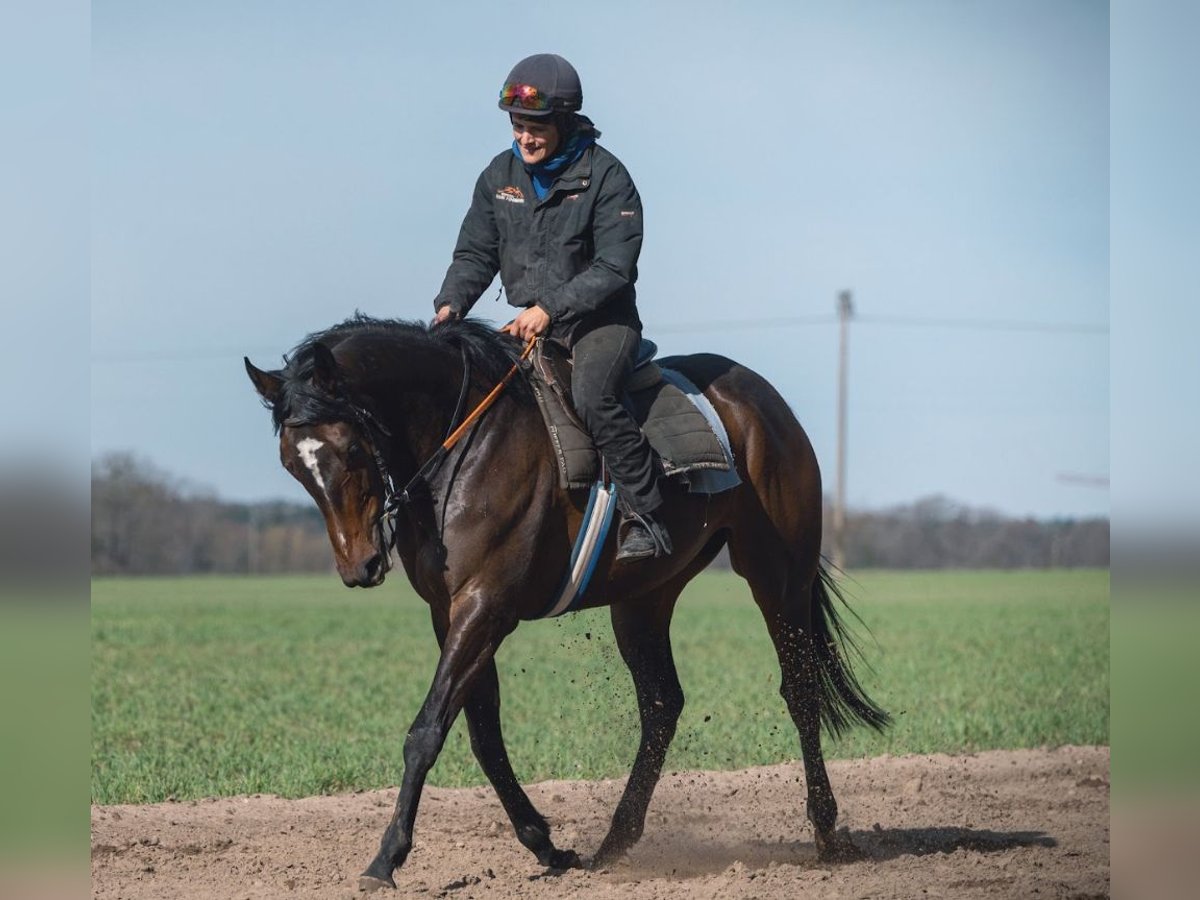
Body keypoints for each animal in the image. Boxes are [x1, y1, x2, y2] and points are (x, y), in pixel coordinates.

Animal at [243, 314, 888, 892]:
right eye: (292, 464)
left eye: (351, 449)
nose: (360, 566)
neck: (464, 448)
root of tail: (763, 399)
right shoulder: (450, 613)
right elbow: (483, 735)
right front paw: (546, 846)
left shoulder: (485, 607)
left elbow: (427, 731)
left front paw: (386, 859)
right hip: (644, 598)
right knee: (662, 705)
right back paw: (615, 841)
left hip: (777, 576)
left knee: (799, 688)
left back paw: (826, 832)